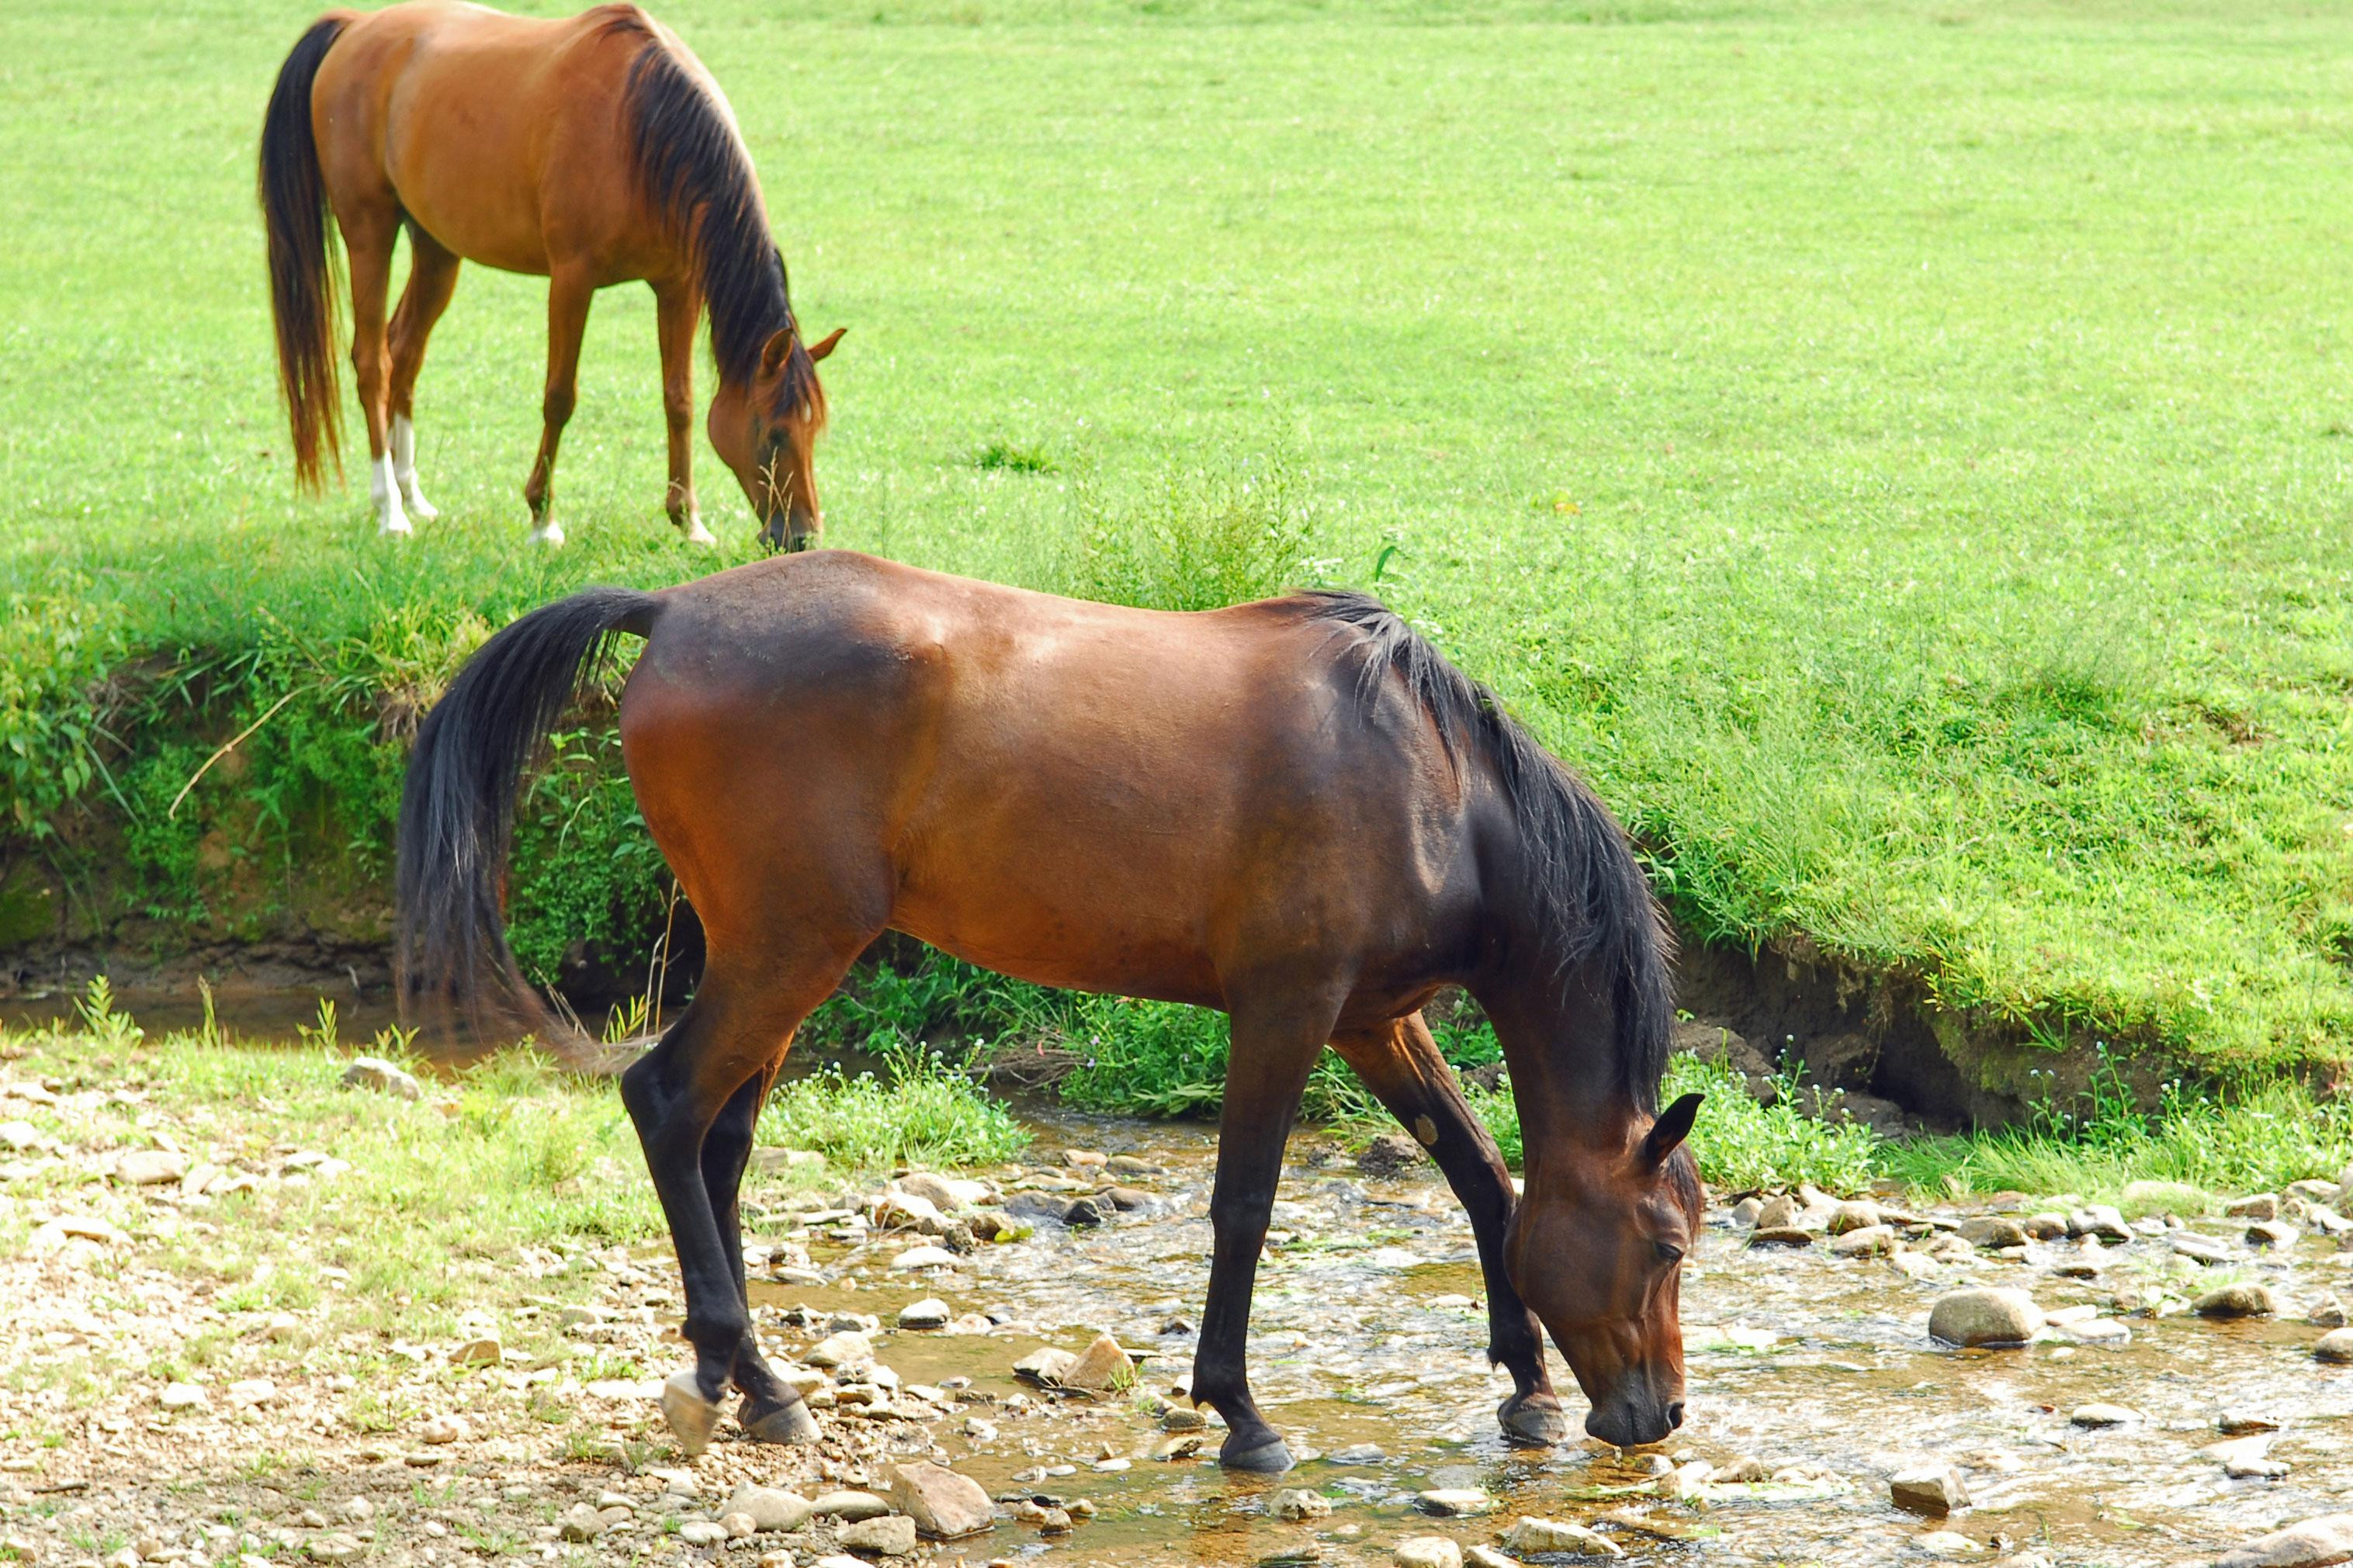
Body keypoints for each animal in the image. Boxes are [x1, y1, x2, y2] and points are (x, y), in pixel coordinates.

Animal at [256, 1, 842, 545]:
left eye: (814, 431)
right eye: (772, 435)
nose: (801, 535)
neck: (638, 127)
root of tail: (356, 26)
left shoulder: (678, 286)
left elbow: (680, 399)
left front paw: (688, 520)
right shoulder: (572, 280)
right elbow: (559, 397)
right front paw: (542, 518)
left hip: (437, 249)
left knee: (405, 351)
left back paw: (413, 494)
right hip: (369, 232)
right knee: (372, 361)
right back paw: (390, 509)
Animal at [395, 555, 1703, 1476]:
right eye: (1669, 1245)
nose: (1660, 1415)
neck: (1429, 785)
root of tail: (669, 611)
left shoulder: (1372, 1019)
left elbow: (1483, 1175)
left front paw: (1526, 1385)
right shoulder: (1288, 1009)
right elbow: (1244, 1206)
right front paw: (1241, 1412)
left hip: (773, 961)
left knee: (720, 1141)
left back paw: (759, 1384)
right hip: (788, 953)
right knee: (667, 1102)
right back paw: (730, 1366)